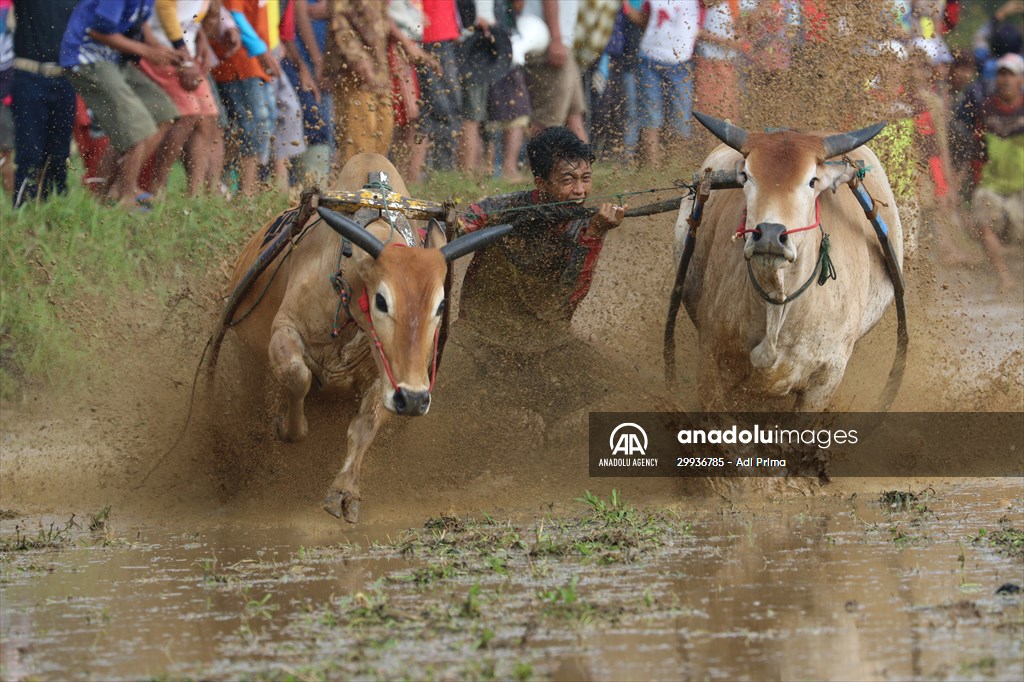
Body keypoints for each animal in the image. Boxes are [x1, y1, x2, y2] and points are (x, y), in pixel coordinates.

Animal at [225, 151, 512, 518]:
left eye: (440, 305)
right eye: (381, 301)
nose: (416, 399)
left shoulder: (386, 378)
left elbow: (365, 426)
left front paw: (344, 491)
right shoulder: (285, 330)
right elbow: (297, 377)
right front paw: (288, 428)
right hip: (244, 355)